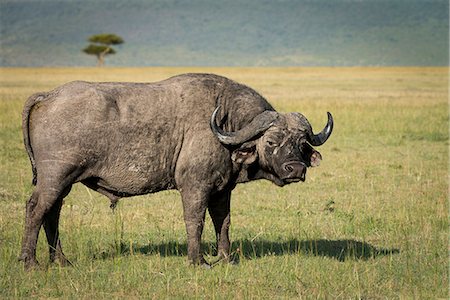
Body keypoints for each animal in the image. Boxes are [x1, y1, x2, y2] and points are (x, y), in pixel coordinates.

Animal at [19, 73, 332, 270]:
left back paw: (60, 261)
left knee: (52, 214)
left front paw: (225, 258)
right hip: (55, 178)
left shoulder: (222, 191)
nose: (296, 169)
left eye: (300, 143)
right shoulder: (194, 187)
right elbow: (196, 222)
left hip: (63, 183)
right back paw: (30, 262)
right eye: (270, 141)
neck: (225, 125)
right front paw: (198, 261)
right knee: (36, 209)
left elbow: (223, 223)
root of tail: (49, 95)